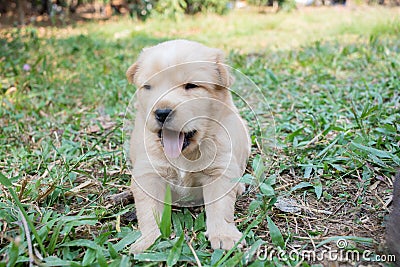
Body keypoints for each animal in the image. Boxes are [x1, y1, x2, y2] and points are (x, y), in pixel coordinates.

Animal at [126, 39, 250, 253]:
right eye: (148, 87)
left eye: (191, 86)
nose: (161, 112)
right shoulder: (148, 173)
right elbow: (149, 211)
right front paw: (149, 240)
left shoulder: (219, 169)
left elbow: (221, 206)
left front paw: (224, 235)